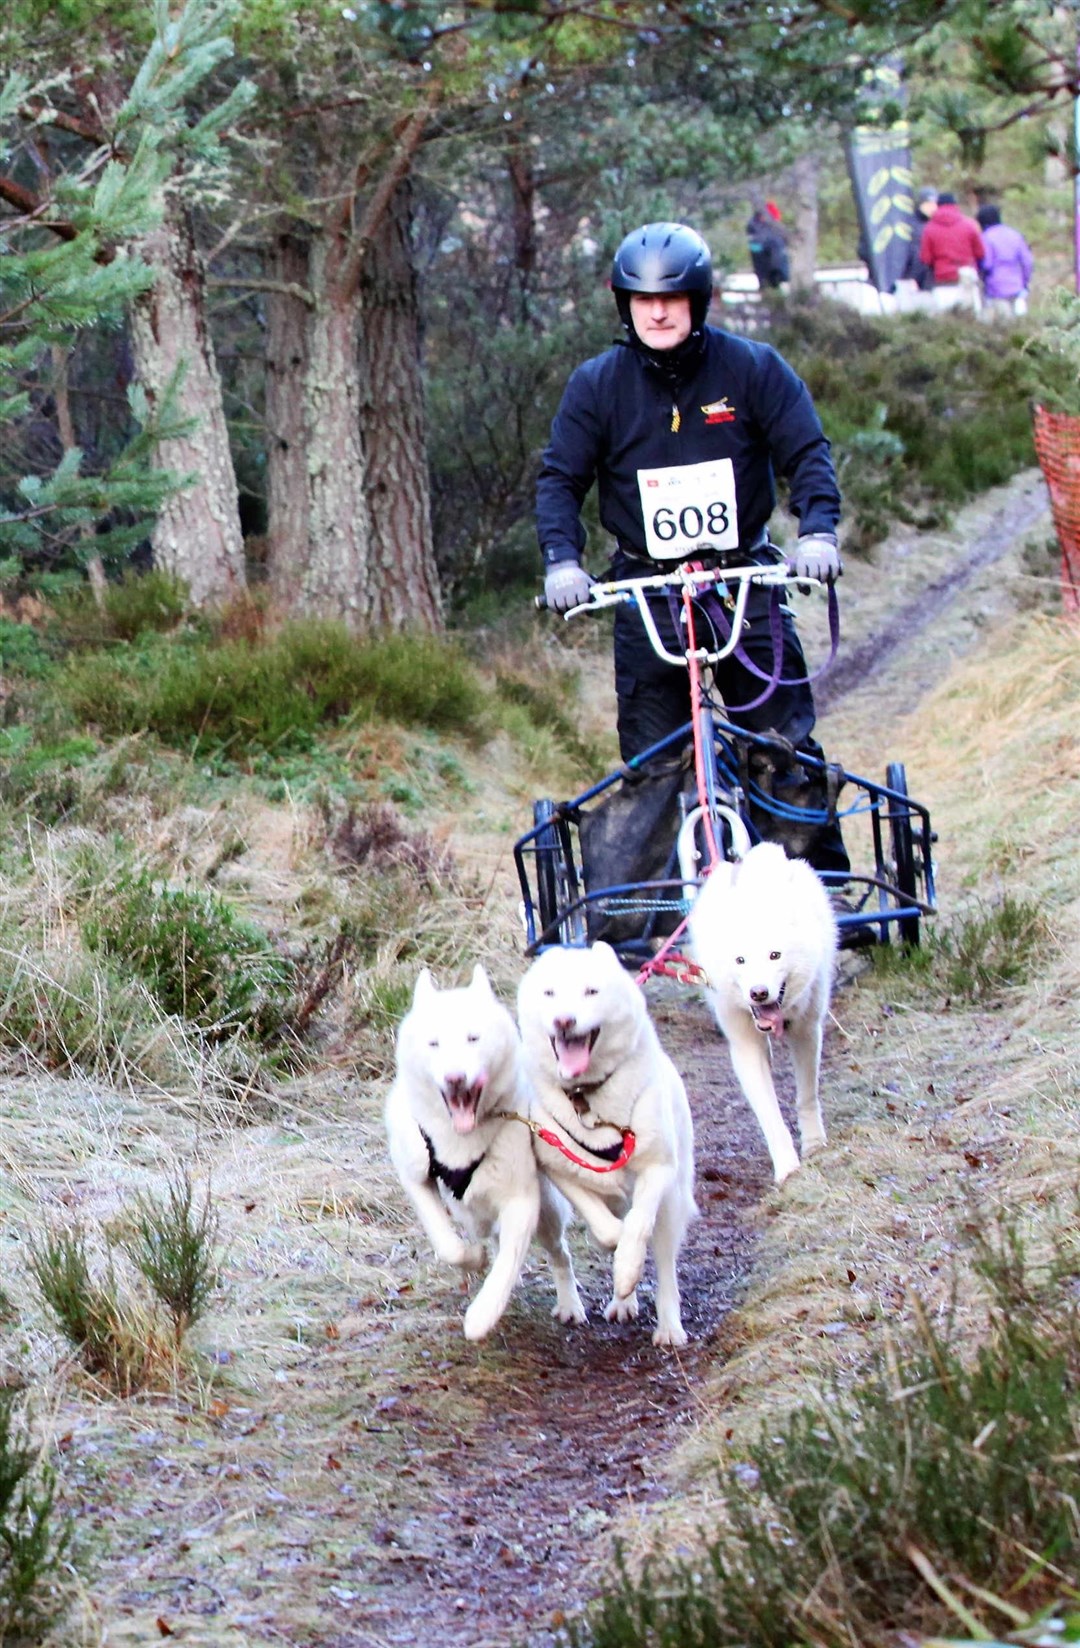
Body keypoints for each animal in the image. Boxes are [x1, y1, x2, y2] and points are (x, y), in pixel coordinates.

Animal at [380, 962, 583, 1338]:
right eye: (434, 1043)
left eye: (473, 1038)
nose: (455, 1078)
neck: (461, 1138)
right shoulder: (416, 1177)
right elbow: (449, 1245)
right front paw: (473, 1259)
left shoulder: (522, 1201)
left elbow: (508, 1262)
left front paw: (483, 1314)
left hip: (547, 1214)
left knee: (559, 1253)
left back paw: (569, 1304)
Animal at [517, 949, 702, 1344]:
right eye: (549, 993)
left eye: (591, 991)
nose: (564, 1020)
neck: (587, 1096)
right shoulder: (560, 1167)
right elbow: (605, 1227)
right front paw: (613, 1245)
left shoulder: (657, 1168)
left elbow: (638, 1225)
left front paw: (628, 1264)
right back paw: (600, 1303)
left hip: (672, 1201)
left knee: (665, 1265)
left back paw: (668, 1326)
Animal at [692, 843, 837, 1179]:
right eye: (740, 960)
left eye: (775, 956)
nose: (758, 993)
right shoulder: (745, 1045)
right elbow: (769, 1115)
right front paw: (787, 1168)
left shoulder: (807, 1033)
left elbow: (806, 1096)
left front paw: (814, 1145)